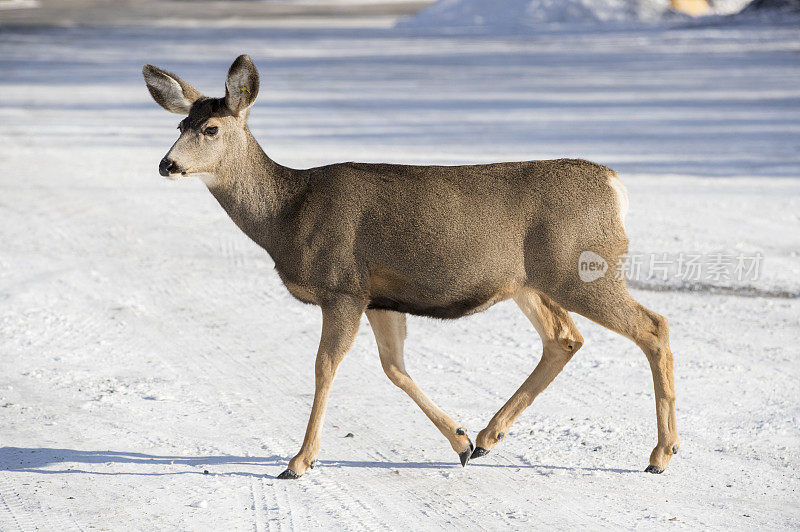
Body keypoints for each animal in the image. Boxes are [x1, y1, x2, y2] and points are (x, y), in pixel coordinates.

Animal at [142, 56, 676, 480]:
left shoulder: (343, 287)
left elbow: (324, 366)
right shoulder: (381, 296)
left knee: (653, 326)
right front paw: (460, 441)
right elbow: (394, 367)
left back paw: (661, 454)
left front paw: (299, 462)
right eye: (178, 127)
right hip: (531, 283)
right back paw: (488, 437)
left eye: (211, 129)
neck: (289, 215)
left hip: (582, 268)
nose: (167, 164)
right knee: (564, 338)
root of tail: (615, 185)